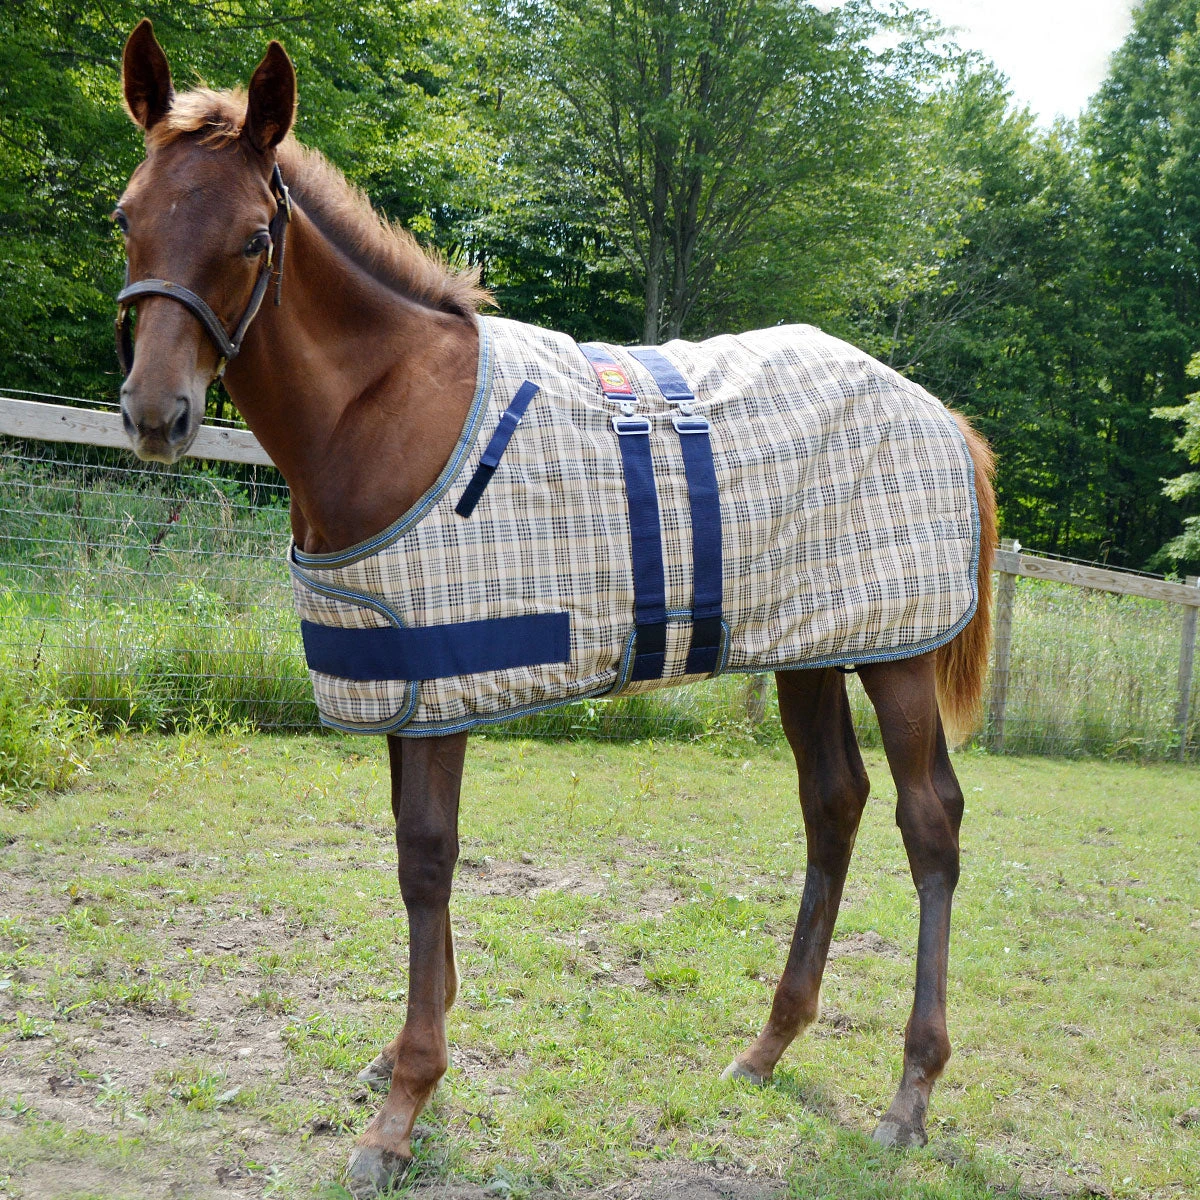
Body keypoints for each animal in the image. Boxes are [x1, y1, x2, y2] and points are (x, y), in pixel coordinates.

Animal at [113, 20, 996, 1194]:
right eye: (127, 216)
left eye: (256, 235)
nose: (155, 414)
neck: (380, 407)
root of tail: (940, 413)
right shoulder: (404, 679)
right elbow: (411, 849)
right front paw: (404, 1058)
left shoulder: (441, 685)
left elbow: (426, 858)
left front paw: (402, 1108)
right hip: (810, 649)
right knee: (834, 805)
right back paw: (767, 1047)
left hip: (894, 655)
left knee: (927, 823)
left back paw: (910, 1096)